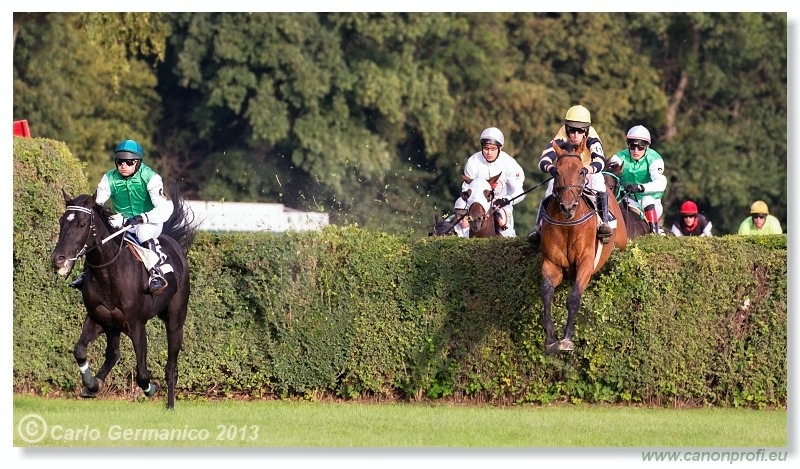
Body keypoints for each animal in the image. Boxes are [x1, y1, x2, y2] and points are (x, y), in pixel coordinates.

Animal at [50, 183, 197, 406]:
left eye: (82, 224)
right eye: (62, 222)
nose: (58, 258)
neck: (109, 273)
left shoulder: (136, 325)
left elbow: (142, 374)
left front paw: (151, 388)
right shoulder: (98, 318)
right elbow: (80, 351)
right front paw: (91, 384)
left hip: (175, 320)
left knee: (171, 366)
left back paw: (170, 404)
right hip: (113, 326)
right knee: (113, 353)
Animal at [540, 139, 628, 354]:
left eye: (581, 171)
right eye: (556, 172)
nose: (568, 207)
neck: (568, 224)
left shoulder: (586, 262)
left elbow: (573, 298)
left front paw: (566, 339)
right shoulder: (551, 263)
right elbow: (546, 293)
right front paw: (550, 340)